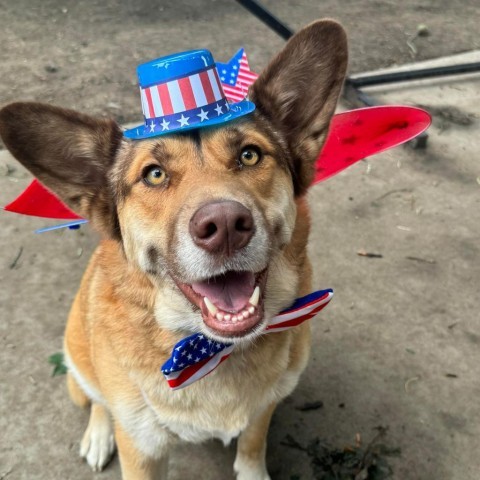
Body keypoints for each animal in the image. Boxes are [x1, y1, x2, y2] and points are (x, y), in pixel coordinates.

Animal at [0, 19, 346, 480]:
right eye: (154, 174)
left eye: (250, 155)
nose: (224, 227)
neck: (210, 347)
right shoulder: (142, 450)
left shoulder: (263, 411)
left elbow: (252, 445)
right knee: (97, 400)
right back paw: (99, 433)